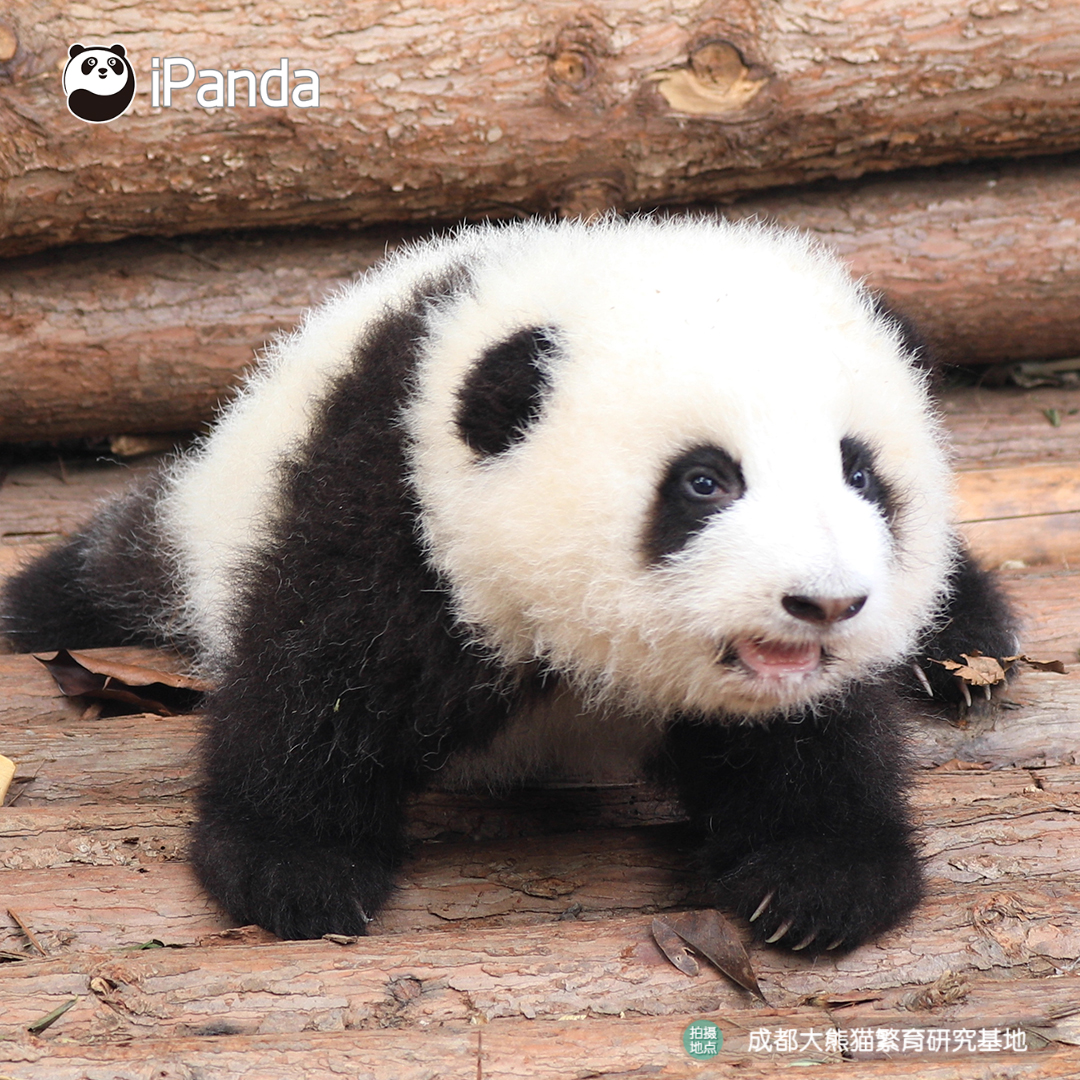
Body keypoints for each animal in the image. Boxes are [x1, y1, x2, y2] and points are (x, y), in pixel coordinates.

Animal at [1, 217, 1017, 952]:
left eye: (861, 474)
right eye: (704, 482)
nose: (824, 604)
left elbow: (817, 745)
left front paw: (813, 885)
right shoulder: (395, 499)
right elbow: (319, 674)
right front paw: (292, 869)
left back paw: (971, 640)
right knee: (122, 561)